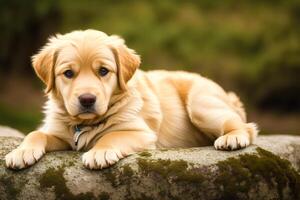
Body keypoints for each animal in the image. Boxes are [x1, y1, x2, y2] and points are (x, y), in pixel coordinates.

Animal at [4, 29, 258, 170]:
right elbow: (35, 133)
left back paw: (232, 138)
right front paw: (21, 152)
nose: (87, 99)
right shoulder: (59, 132)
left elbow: (112, 136)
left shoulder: (141, 133)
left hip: (199, 103)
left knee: (246, 126)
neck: (84, 124)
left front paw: (99, 152)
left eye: (103, 71)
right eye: (68, 73)